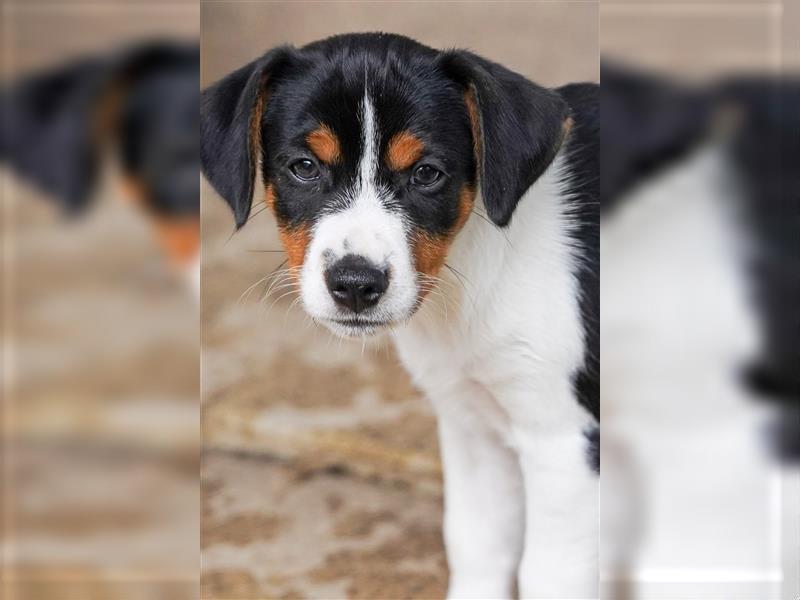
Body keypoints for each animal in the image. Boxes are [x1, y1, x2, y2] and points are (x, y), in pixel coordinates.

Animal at [203, 34, 596, 600]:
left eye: (426, 173)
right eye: (304, 166)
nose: (355, 284)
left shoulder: (562, 440)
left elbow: (550, 573)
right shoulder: (472, 424)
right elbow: (477, 542)